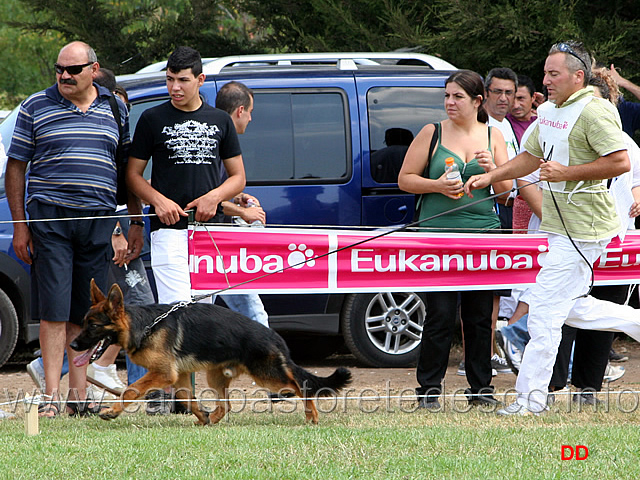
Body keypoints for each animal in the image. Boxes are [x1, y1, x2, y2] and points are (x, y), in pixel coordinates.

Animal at [70, 280, 352, 426]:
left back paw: (312, 415)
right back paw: (213, 418)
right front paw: (203, 416)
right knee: (225, 404)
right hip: (216, 375)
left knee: (300, 385)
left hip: (268, 375)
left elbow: (130, 390)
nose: (72, 346)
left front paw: (112, 411)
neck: (146, 326)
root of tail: (274, 336)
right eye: (83, 323)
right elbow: (187, 397)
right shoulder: (179, 376)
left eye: (92, 326)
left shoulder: (163, 373)